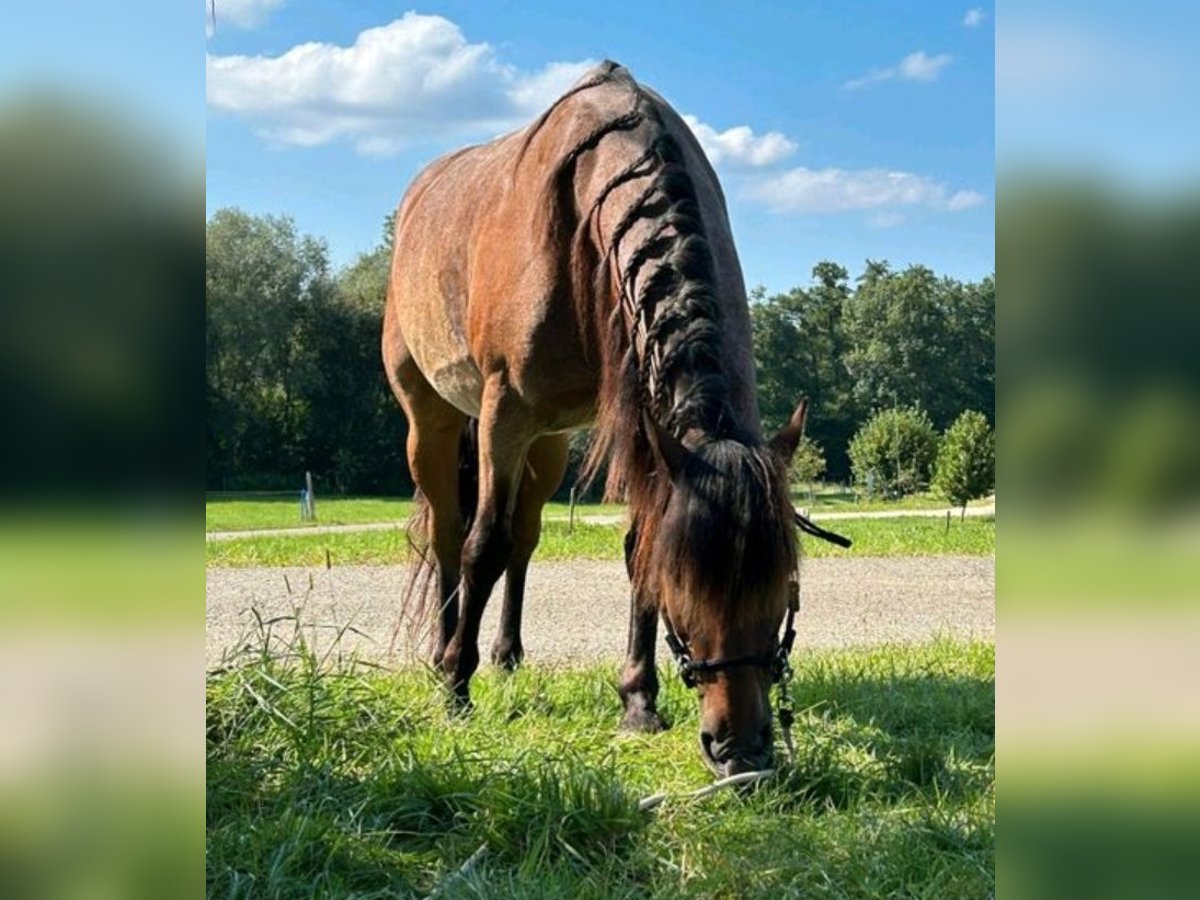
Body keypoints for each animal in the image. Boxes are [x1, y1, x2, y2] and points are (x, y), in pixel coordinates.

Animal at [381, 60, 806, 777]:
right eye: (684, 593)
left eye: (783, 590)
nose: (741, 752)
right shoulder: (503, 413)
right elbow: (481, 544)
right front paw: (456, 688)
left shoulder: (643, 434)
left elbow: (634, 549)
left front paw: (637, 699)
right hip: (433, 424)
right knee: (449, 535)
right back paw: (445, 654)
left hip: (549, 443)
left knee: (524, 539)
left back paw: (508, 655)